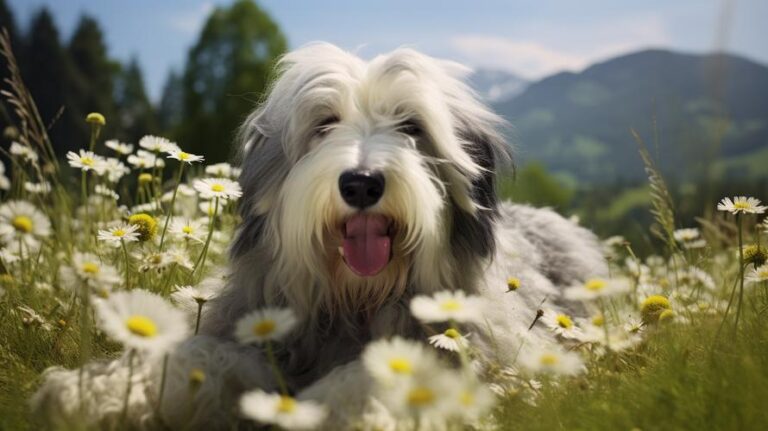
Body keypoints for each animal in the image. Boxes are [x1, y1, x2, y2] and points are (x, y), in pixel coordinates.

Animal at [31, 43, 608, 428]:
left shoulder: (480, 350)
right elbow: (197, 352)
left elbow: (386, 368)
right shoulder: (251, 321)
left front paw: (324, 409)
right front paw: (91, 393)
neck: (352, 297)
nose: (361, 183)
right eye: (325, 123)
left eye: (411, 126)